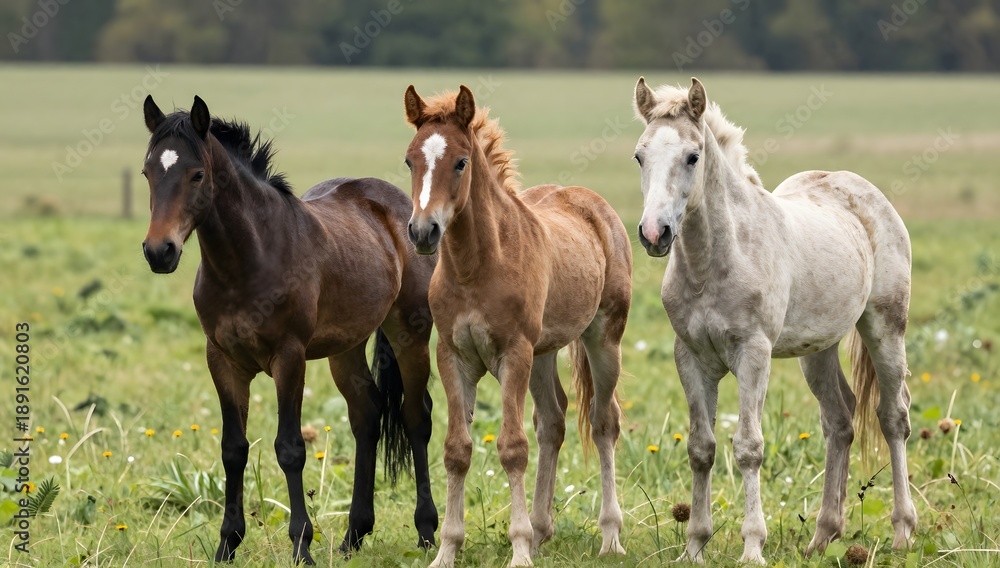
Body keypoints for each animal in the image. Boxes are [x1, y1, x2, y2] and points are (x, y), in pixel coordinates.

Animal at [139, 95, 439, 564]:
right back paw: (354, 535)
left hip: (411, 333)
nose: (159, 252)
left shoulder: (289, 358)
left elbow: (290, 449)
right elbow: (233, 450)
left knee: (415, 417)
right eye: (148, 172)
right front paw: (227, 544)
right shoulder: (221, 360)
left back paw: (426, 532)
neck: (249, 260)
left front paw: (302, 546)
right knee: (367, 415)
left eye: (197, 174)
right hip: (345, 348)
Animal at [402, 85, 633, 567]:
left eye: (461, 162)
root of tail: (593, 203)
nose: (423, 232)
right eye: (410, 160)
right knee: (553, 421)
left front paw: (520, 549)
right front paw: (446, 550)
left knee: (604, 422)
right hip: (543, 352)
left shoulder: (514, 353)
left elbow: (512, 448)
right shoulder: (453, 356)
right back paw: (544, 530)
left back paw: (609, 536)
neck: (477, 266)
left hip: (603, 339)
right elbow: (457, 450)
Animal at [630, 77, 917, 563]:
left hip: (885, 327)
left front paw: (752, 547)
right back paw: (822, 536)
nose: (655, 234)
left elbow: (748, 447)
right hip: (818, 349)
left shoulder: (753, 352)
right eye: (639, 155)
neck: (712, 265)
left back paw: (902, 532)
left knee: (893, 415)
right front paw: (695, 545)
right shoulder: (690, 357)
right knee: (840, 420)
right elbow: (701, 448)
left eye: (692, 156)